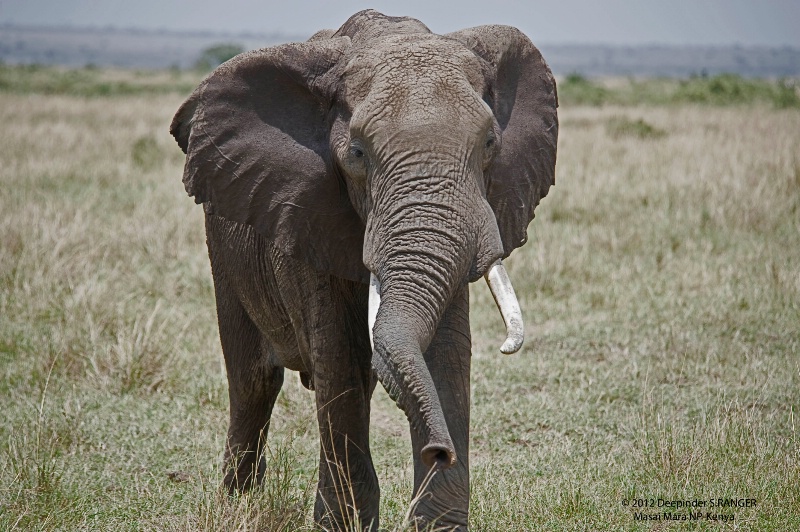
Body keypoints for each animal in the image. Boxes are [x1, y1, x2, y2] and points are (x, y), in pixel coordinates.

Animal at [169, 9, 556, 532]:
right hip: (224, 250)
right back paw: (237, 506)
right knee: (252, 382)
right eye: (356, 153)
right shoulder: (306, 217)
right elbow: (343, 360)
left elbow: (447, 354)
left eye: (490, 142)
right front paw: (341, 523)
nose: (439, 451)